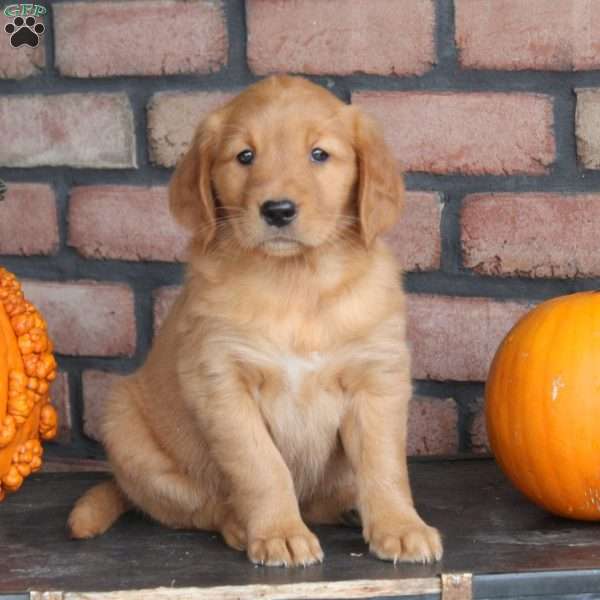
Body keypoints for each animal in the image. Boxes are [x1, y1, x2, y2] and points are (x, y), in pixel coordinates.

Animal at [69, 75, 440, 568]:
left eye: (319, 154)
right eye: (245, 156)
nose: (278, 210)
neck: (296, 282)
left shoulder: (377, 378)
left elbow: (384, 464)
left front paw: (400, 527)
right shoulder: (222, 383)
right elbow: (261, 466)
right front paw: (279, 533)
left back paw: (348, 507)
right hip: (129, 432)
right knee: (200, 508)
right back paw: (241, 527)